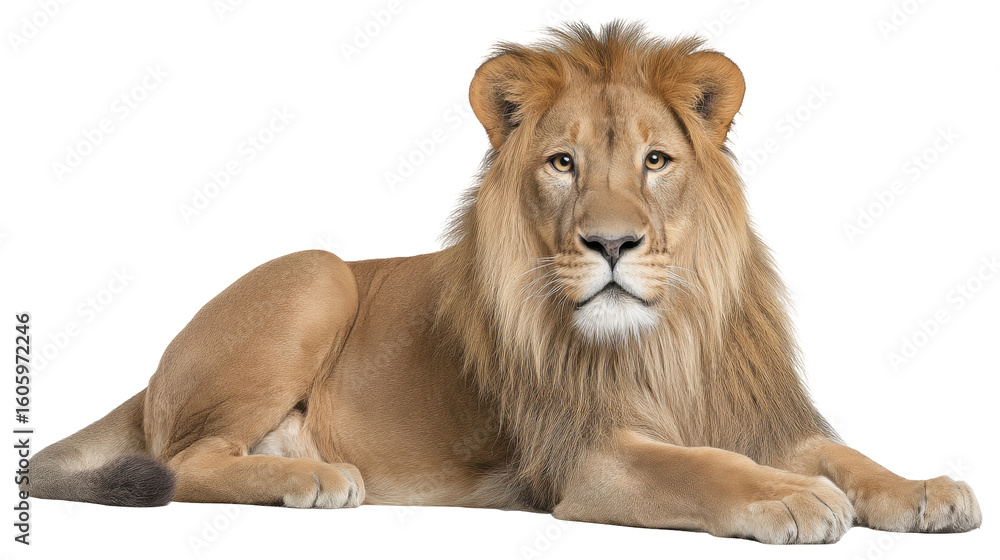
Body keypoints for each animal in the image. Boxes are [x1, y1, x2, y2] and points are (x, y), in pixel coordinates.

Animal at [23, 22, 981, 544]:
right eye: (563, 164)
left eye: (656, 160)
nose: (611, 242)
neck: (668, 336)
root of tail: (152, 374)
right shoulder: (588, 457)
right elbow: (704, 469)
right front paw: (787, 498)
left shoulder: (754, 412)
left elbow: (843, 454)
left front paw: (926, 491)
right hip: (316, 276)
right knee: (183, 460)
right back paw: (313, 479)